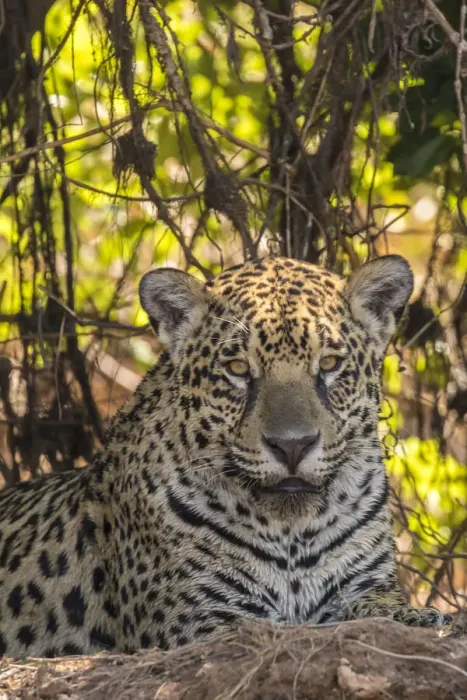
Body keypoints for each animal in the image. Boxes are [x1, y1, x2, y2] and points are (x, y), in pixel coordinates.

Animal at [0, 255, 452, 658]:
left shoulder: (366, 586)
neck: (293, 532)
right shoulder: (206, 619)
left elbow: (381, 611)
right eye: (237, 368)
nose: (293, 445)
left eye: (330, 363)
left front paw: (424, 617)